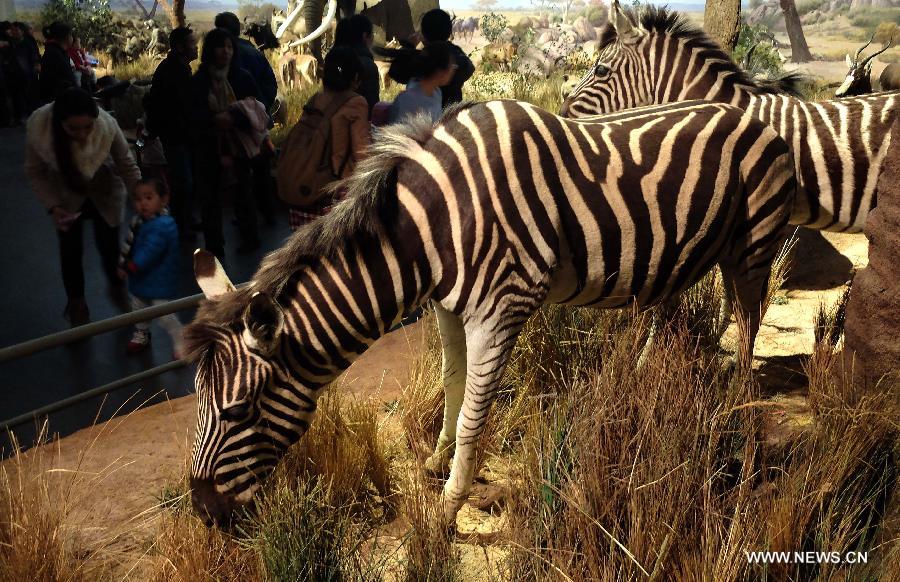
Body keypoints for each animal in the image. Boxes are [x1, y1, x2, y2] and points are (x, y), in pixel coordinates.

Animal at [185, 100, 796, 528]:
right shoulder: (449, 309)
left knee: (748, 326)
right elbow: (452, 384)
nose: (202, 511)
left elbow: (475, 417)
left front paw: (447, 510)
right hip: (679, 252)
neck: (427, 233)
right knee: (678, 310)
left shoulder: (502, 309)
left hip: (752, 246)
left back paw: (738, 408)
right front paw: (437, 461)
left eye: (237, 412)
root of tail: (754, 114)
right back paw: (644, 376)